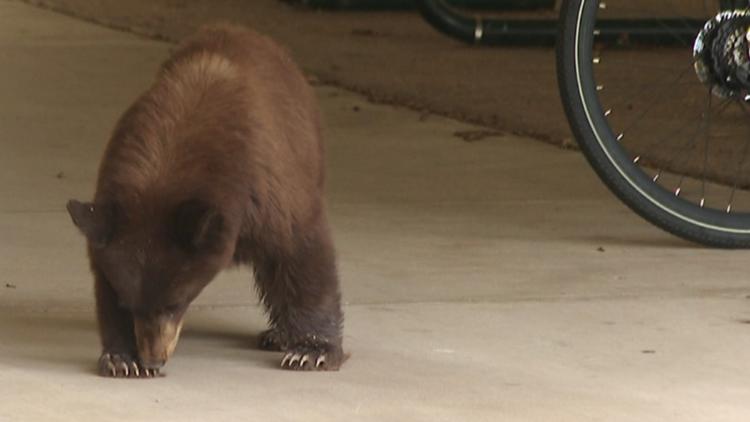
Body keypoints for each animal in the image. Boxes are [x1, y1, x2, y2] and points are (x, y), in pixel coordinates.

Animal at [66, 24, 344, 377]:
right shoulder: (111, 211)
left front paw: (312, 352)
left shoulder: (267, 188)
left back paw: (280, 335)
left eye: (175, 302)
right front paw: (121, 358)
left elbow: (302, 249)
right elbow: (104, 274)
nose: (154, 359)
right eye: (128, 303)